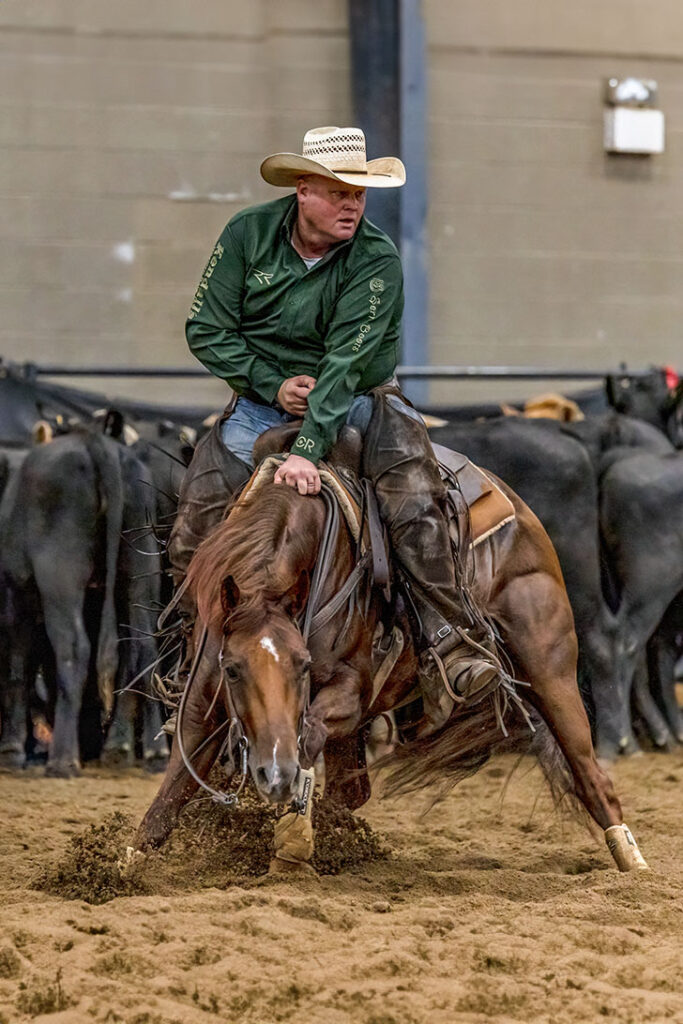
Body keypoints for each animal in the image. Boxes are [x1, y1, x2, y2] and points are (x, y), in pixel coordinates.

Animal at [136, 471, 651, 872]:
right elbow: (172, 789)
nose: (274, 774)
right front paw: (128, 866)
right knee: (351, 791)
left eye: (303, 666)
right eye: (233, 669)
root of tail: (515, 505)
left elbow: (308, 730)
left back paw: (633, 863)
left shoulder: (353, 693)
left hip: (550, 669)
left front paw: (293, 835)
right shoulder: (204, 702)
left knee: (591, 775)